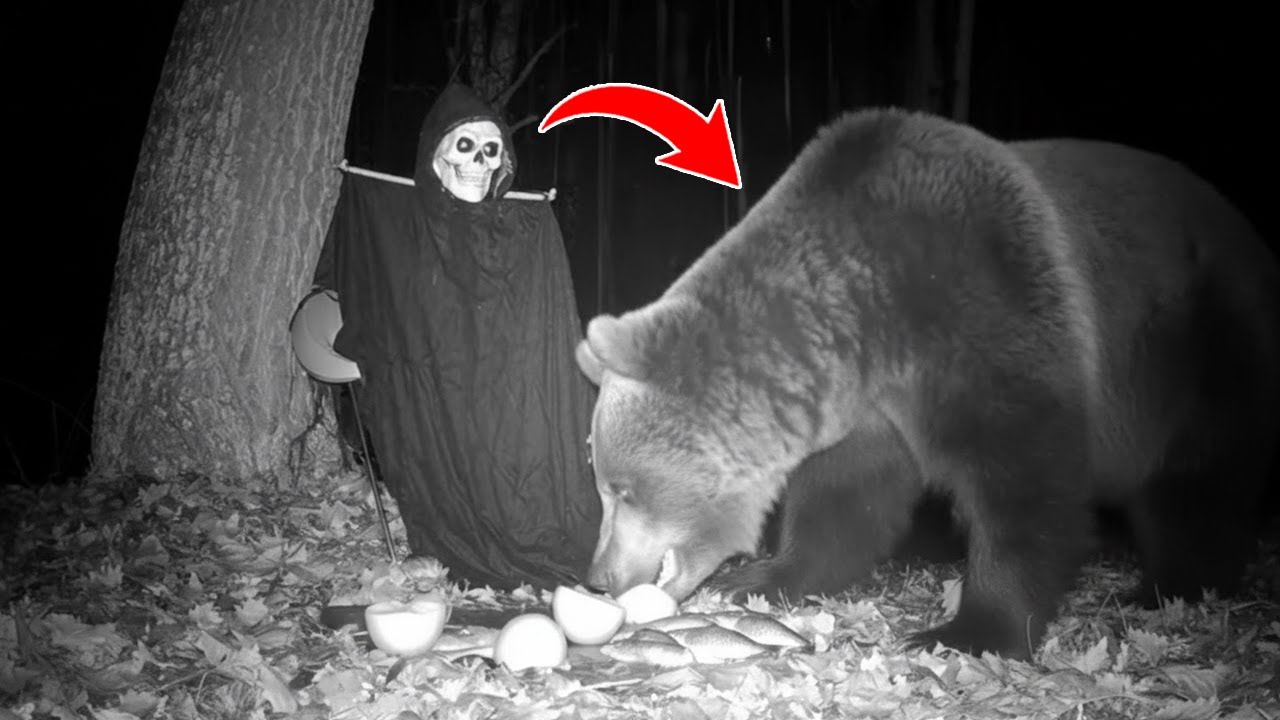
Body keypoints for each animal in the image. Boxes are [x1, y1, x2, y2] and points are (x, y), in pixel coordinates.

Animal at [575, 107, 1280, 660]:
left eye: (620, 489)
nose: (599, 576)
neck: (870, 313)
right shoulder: (865, 406)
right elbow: (843, 496)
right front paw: (761, 577)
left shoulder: (991, 303)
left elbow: (1023, 481)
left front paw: (969, 630)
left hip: (1197, 341)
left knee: (1195, 480)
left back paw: (1172, 584)